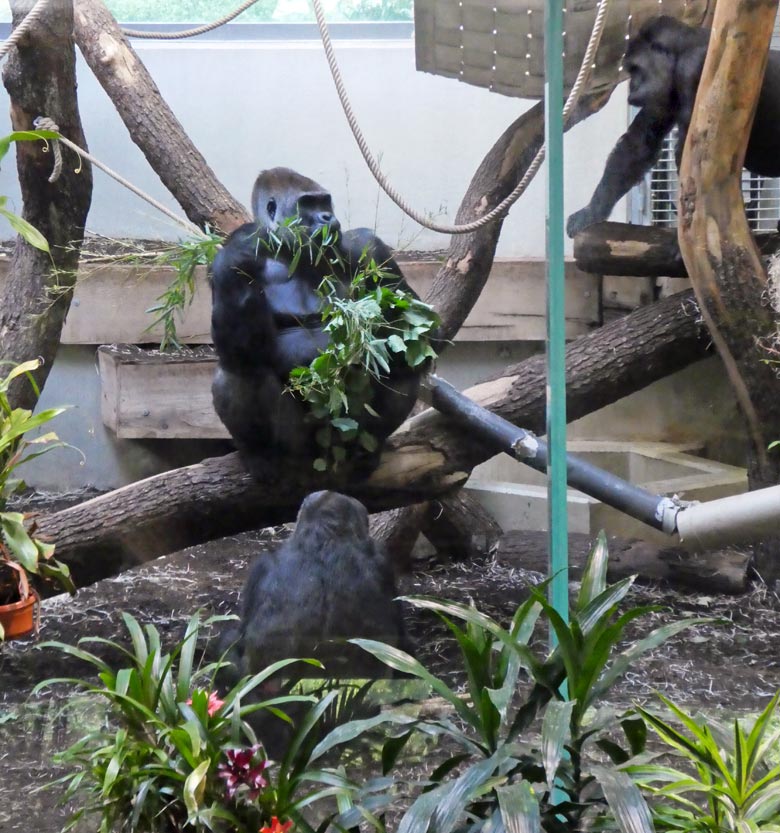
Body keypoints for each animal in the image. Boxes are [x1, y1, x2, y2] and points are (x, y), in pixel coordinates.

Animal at [210, 167, 430, 474]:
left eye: (325, 203)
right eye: (307, 205)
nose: (327, 217)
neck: (289, 252)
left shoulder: (369, 247)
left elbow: (413, 328)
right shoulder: (228, 255)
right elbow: (237, 347)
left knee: (403, 362)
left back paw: (367, 447)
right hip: (299, 445)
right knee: (240, 368)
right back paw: (259, 454)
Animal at [568, 15, 780, 237]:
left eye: (635, 69)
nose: (632, 87)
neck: (683, 48)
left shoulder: (694, 66)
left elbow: (694, 155)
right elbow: (638, 146)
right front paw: (591, 212)